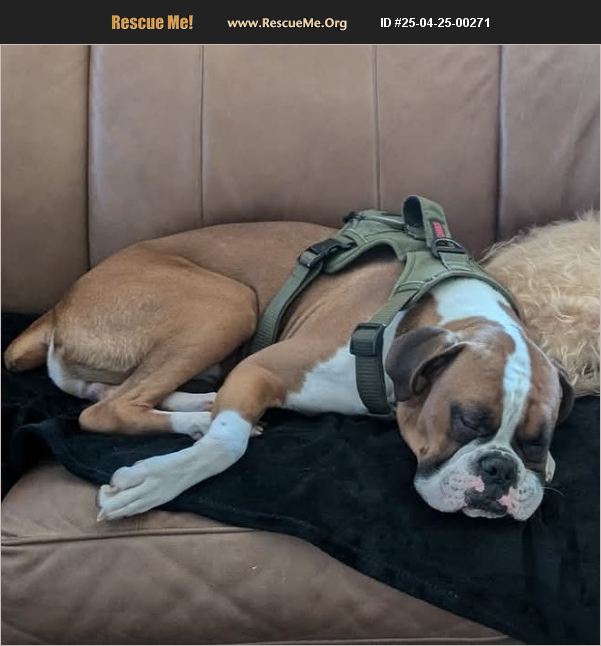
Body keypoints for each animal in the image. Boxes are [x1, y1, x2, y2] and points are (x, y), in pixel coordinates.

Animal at [4, 221, 574, 521]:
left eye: (537, 442)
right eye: (465, 420)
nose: (499, 470)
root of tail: (60, 305)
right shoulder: (263, 367)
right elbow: (227, 447)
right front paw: (158, 479)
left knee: (115, 393)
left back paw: (200, 409)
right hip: (227, 303)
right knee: (107, 409)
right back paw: (199, 420)